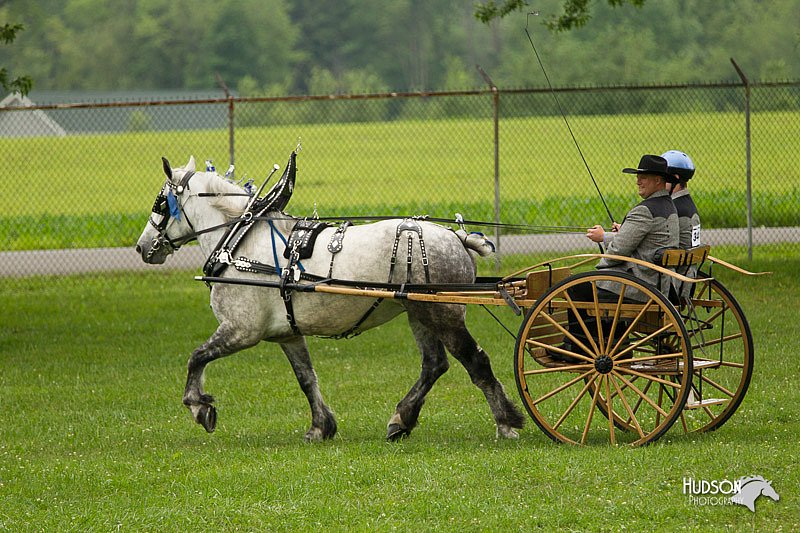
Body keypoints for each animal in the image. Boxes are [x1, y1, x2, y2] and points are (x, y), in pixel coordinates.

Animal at [136, 156, 524, 442]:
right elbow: (306, 378)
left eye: (161, 203)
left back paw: (505, 421)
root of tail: (457, 238)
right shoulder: (287, 333)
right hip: (418, 312)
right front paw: (320, 426)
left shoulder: (241, 330)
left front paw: (199, 406)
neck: (241, 241)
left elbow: (196, 357)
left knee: (475, 361)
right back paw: (402, 418)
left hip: (442, 313)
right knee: (434, 365)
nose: (142, 247)